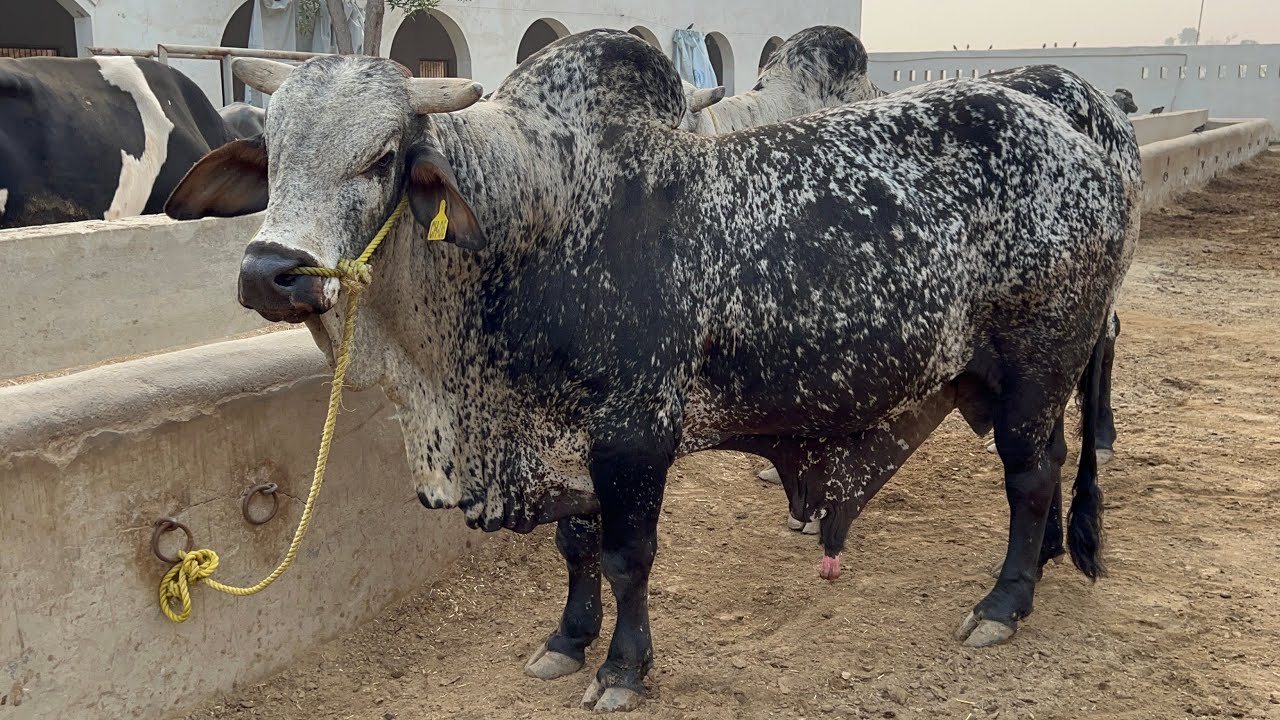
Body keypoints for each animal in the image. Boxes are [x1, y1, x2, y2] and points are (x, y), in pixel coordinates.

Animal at [166, 30, 1137, 712]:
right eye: (273, 156)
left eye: (379, 159)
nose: (271, 272)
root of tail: (1079, 131)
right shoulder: (562, 440)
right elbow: (576, 548)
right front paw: (566, 643)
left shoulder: (634, 434)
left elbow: (628, 555)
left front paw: (624, 669)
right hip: (1005, 379)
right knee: (1050, 469)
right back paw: (1044, 567)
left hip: (1040, 361)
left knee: (1031, 475)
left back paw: (1004, 604)